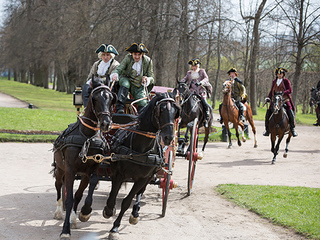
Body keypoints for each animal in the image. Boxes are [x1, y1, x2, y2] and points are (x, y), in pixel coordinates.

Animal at [52, 78, 117, 239]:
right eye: (95, 98)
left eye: (111, 98)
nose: (106, 123)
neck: (86, 136)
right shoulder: (70, 170)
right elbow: (69, 199)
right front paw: (65, 230)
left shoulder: (90, 171)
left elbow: (81, 194)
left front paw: (83, 213)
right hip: (60, 170)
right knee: (58, 186)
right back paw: (58, 211)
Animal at [102, 91, 180, 238]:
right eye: (161, 110)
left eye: (176, 112)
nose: (169, 137)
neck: (142, 149)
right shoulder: (119, 174)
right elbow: (112, 197)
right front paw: (109, 210)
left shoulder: (143, 178)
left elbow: (127, 201)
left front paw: (115, 228)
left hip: (149, 177)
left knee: (140, 192)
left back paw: (135, 213)